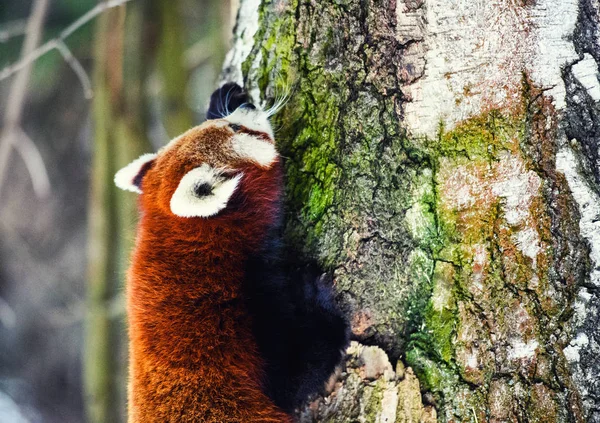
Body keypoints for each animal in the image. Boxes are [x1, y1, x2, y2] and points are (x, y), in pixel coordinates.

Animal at [115, 83, 350, 423]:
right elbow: (296, 372)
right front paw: (317, 298)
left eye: (230, 122)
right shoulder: (235, 315)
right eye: (236, 128)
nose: (248, 105)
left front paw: (224, 94)